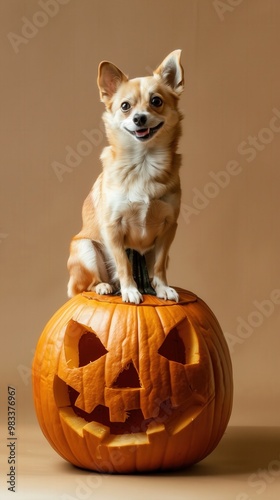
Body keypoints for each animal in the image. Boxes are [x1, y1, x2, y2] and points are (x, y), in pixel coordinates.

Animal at [67, 48, 185, 302]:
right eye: (124, 106)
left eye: (156, 101)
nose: (139, 118)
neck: (143, 163)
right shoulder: (113, 228)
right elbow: (123, 263)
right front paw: (130, 290)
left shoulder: (169, 227)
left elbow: (160, 264)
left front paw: (163, 287)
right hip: (85, 248)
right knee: (86, 286)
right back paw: (104, 286)